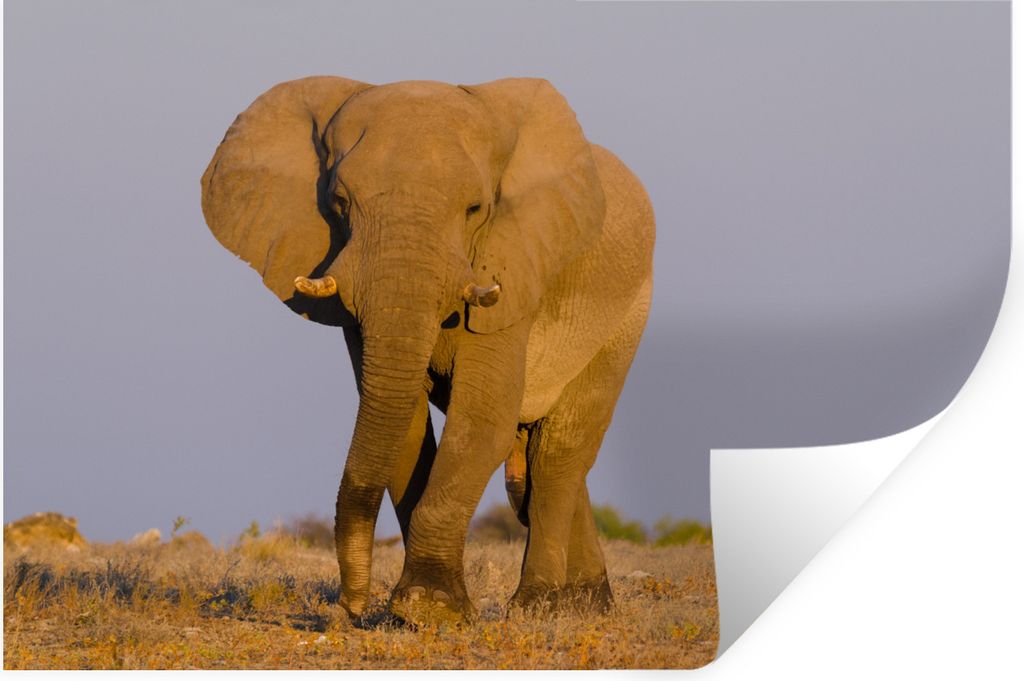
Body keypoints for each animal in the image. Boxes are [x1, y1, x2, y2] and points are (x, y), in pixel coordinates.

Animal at [201, 76, 654, 623]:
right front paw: (413, 613)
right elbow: (407, 426)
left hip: (626, 316)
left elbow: (482, 420)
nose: (352, 609)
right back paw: (586, 607)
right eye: (340, 202)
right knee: (533, 453)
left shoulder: (514, 275)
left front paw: (428, 609)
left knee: (559, 452)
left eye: (475, 210)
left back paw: (539, 608)